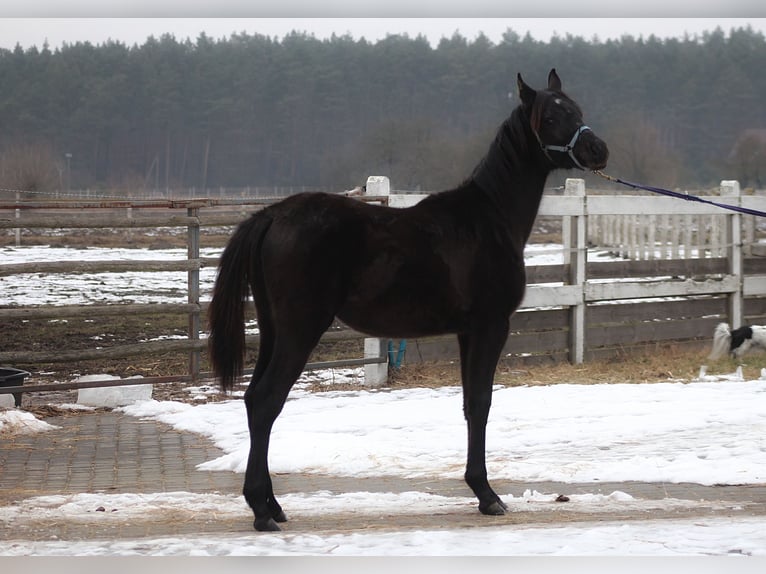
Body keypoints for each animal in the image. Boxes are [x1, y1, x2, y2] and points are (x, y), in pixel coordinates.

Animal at [207, 70, 608, 532]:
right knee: (266, 401)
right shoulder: (492, 325)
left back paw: (272, 505)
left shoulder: (467, 332)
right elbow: (482, 403)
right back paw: (261, 510)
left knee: (254, 399)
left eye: (576, 108)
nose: (599, 150)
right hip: (299, 330)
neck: (489, 219)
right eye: (552, 116)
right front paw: (488, 495)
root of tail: (271, 215)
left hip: (274, 329)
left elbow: (470, 404)